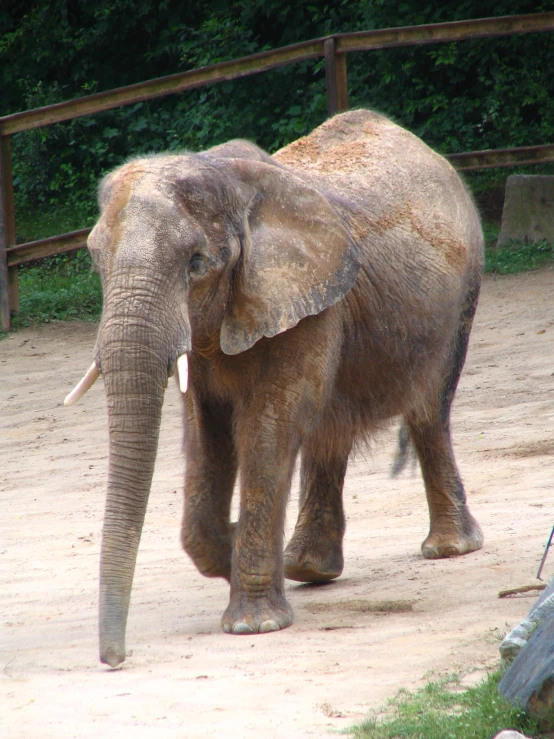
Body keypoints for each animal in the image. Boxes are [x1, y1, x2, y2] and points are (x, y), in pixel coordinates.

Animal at [66, 107, 484, 668]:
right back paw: (308, 568)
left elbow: (267, 426)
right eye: (96, 262)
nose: (114, 658)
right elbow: (206, 433)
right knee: (331, 429)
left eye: (196, 263)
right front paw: (231, 552)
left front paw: (253, 623)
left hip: (462, 292)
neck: (227, 180)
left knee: (427, 410)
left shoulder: (308, 302)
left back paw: (448, 549)